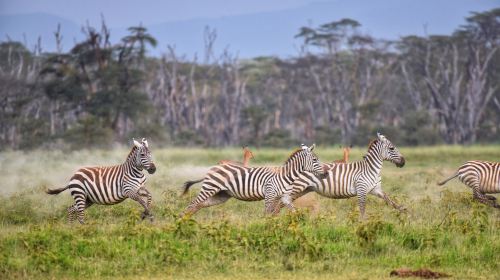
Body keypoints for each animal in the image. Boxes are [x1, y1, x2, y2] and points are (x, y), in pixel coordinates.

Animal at [182, 144, 326, 217]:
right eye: (315, 160)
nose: (325, 173)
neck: (286, 177)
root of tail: (213, 167)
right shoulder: (269, 195)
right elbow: (267, 214)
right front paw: (266, 230)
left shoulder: (285, 197)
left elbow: (293, 211)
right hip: (209, 188)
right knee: (192, 203)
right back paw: (181, 223)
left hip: (221, 195)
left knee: (197, 205)